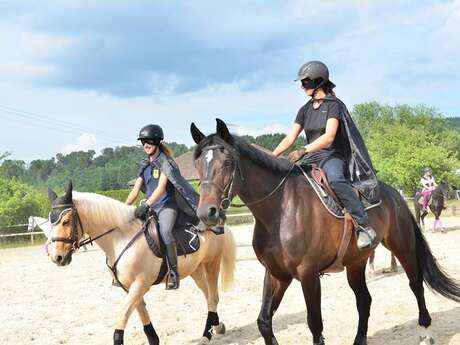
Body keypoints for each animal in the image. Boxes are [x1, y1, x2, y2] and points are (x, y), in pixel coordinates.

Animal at [47, 181, 237, 342]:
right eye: (50, 222)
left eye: (65, 221)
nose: (57, 257)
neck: (121, 237)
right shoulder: (129, 287)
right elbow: (142, 313)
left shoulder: (140, 284)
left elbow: (122, 318)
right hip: (194, 269)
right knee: (208, 296)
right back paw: (217, 326)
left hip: (212, 263)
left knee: (213, 296)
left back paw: (206, 335)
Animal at [190, 119, 460, 344]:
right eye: (198, 164)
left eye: (227, 162)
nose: (207, 213)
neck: (280, 209)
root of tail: (395, 195)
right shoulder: (277, 274)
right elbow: (264, 321)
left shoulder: (308, 274)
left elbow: (315, 324)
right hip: (355, 263)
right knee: (364, 300)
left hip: (403, 247)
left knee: (415, 284)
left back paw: (425, 332)